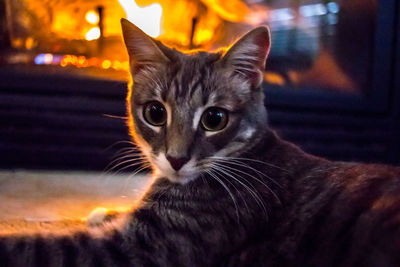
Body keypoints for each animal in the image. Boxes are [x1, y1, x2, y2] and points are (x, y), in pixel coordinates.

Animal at [0, 18, 400, 266]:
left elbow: (38, 248)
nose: (176, 159)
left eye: (214, 119)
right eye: (155, 113)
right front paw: (104, 212)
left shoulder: (138, 251)